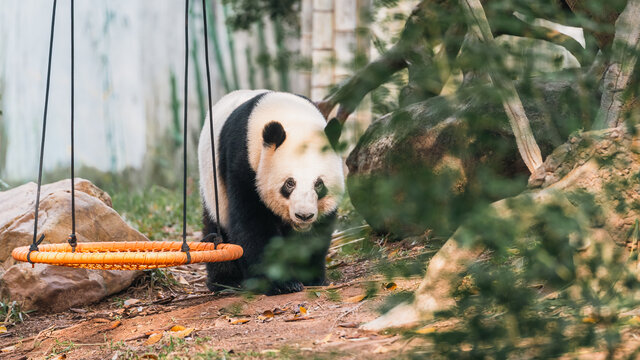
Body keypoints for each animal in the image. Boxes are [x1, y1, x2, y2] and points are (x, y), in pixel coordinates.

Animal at [198, 90, 344, 296]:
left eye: (318, 184)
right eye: (290, 183)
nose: (304, 215)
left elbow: (318, 231)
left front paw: (311, 276)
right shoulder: (244, 164)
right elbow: (252, 222)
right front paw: (280, 283)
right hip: (212, 189)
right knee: (215, 230)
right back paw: (225, 280)